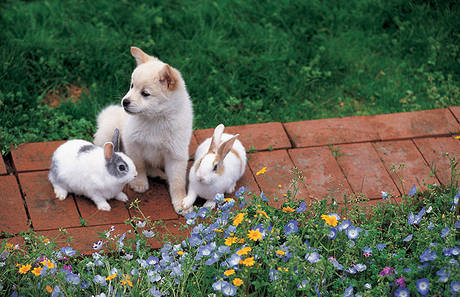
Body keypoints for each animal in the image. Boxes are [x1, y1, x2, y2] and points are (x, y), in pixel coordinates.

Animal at [93, 46, 192, 213]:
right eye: (132, 86)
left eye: (145, 93)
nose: (124, 102)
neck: (155, 120)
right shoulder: (133, 143)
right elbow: (138, 165)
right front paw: (139, 183)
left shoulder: (176, 154)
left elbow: (178, 182)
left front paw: (181, 202)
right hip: (108, 132)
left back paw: (159, 174)